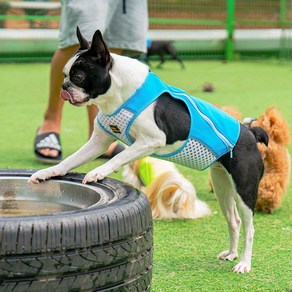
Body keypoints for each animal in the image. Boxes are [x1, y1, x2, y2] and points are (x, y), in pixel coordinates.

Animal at [30, 27, 270, 274]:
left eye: (78, 77)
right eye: (63, 75)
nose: (64, 87)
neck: (119, 94)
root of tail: (250, 132)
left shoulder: (150, 140)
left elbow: (119, 156)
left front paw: (98, 172)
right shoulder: (98, 142)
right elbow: (70, 160)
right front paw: (47, 173)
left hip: (244, 190)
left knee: (249, 228)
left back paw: (244, 263)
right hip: (223, 187)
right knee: (234, 221)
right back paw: (231, 254)